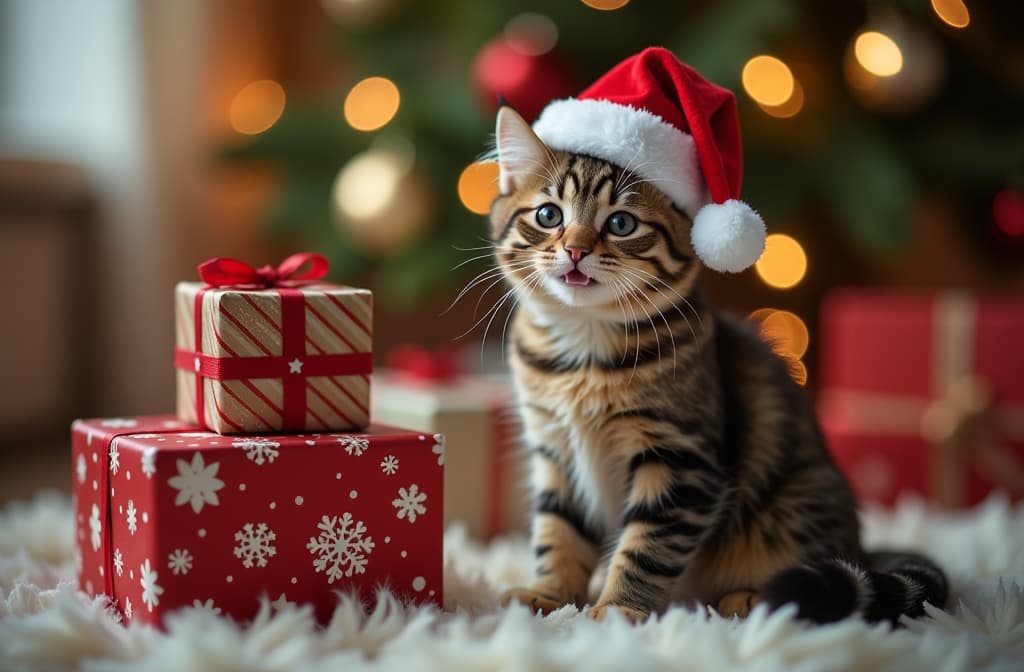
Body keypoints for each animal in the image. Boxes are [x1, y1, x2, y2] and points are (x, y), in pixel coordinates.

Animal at [483, 105, 946, 622]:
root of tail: (863, 551)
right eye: (548, 215)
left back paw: (751, 599)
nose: (576, 250)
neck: (584, 346)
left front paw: (620, 610)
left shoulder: (681, 459)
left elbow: (646, 546)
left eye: (621, 224)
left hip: (792, 507)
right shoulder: (555, 452)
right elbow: (558, 531)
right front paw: (551, 596)